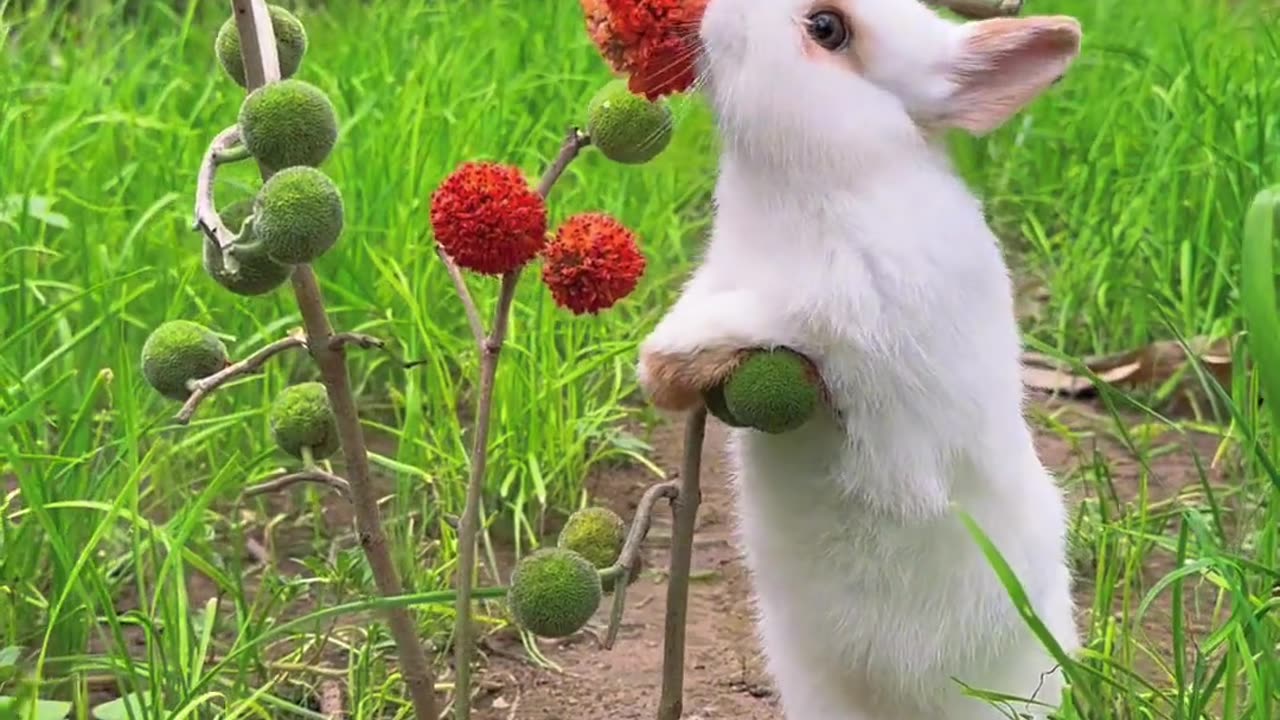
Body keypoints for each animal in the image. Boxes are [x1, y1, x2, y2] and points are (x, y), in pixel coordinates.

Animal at [634, 1, 1085, 717]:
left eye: (827, 29)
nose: (708, 11)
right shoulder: (723, 274)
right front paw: (673, 375)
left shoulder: (845, 307)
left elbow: (770, 314)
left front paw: (662, 364)